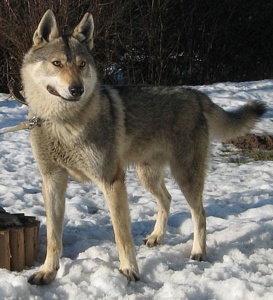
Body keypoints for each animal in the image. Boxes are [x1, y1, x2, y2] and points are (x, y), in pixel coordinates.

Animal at [20, 9, 266, 286]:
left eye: (81, 65)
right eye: (57, 64)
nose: (77, 89)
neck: (62, 123)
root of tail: (194, 93)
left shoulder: (112, 181)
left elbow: (122, 235)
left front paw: (129, 271)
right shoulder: (52, 181)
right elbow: (53, 237)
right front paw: (47, 272)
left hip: (184, 177)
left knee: (200, 214)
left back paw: (198, 252)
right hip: (146, 176)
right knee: (167, 199)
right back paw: (157, 237)